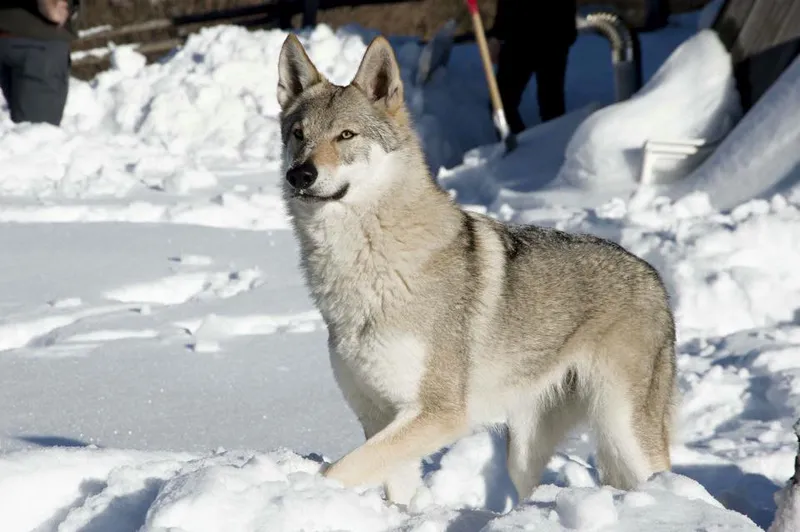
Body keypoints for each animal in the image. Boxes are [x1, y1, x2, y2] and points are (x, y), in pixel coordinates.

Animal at [276, 33, 678, 506]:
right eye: (298, 134)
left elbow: (338, 470)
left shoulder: (439, 413)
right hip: (524, 450)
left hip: (622, 433)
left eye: (345, 135)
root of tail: (654, 277)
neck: (368, 265)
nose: (299, 175)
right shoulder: (379, 418)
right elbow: (390, 486)